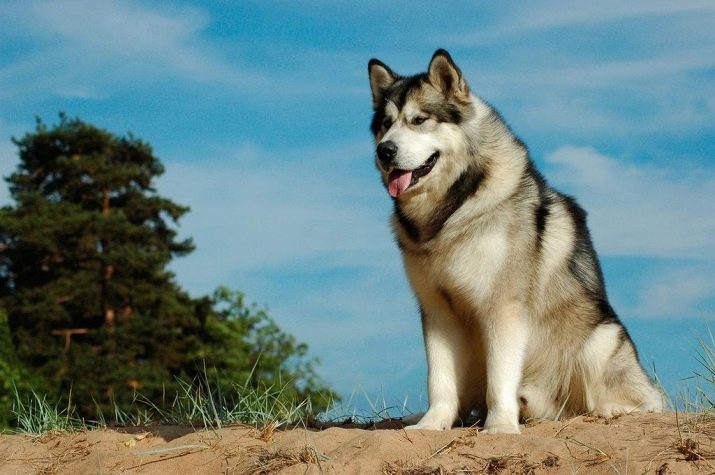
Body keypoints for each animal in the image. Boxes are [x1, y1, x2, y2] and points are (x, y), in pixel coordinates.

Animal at [370, 49, 664, 436]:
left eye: (419, 120)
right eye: (385, 124)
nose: (384, 151)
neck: (453, 207)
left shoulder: (503, 306)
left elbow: (500, 378)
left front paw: (500, 427)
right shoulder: (437, 309)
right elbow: (440, 379)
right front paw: (432, 424)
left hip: (600, 339)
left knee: (646, 401)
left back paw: (610, 410)